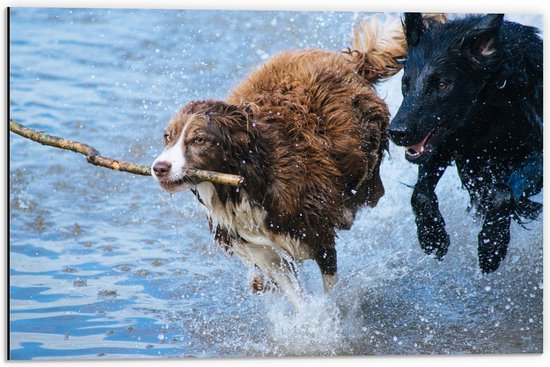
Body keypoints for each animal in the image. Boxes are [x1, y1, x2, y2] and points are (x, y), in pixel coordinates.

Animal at [153, 16, 408, 308]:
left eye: (199, 139)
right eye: (168, 136)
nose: (159, 168)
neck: (244, 182)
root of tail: (351, 63)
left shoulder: (316, 231)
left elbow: (330, 285)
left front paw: (331, 314)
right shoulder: (259, 247)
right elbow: (291, 290)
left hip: (365, 148)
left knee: (368, 186)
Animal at [390, 13, 544, 274]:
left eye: (442, 84)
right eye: (405, 82)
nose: (396, 132)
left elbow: (502, 193)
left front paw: (491, 245)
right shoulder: (446, 143)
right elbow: (420, 194)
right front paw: (432, 236)